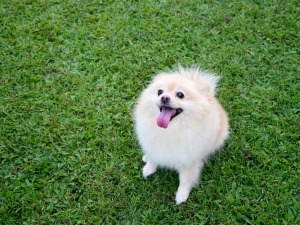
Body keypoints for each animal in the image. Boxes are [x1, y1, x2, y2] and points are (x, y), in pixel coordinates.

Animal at [132, 66, 229, 205]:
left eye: (180, 94)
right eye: (159, 91)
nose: (164, 97)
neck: (171, 129)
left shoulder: (189, 160)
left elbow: (185, 181)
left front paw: (181, 195)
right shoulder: (153, 145)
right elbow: (153, 159)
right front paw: (148, 168)